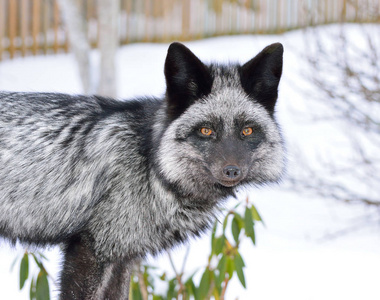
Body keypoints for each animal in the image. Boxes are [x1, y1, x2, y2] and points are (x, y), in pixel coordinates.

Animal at [0, 42, 284, 298]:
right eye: (206, 130)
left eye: (247, 131)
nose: (232, 171)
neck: (151, 166)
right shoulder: (90, 250)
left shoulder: (122, 256)